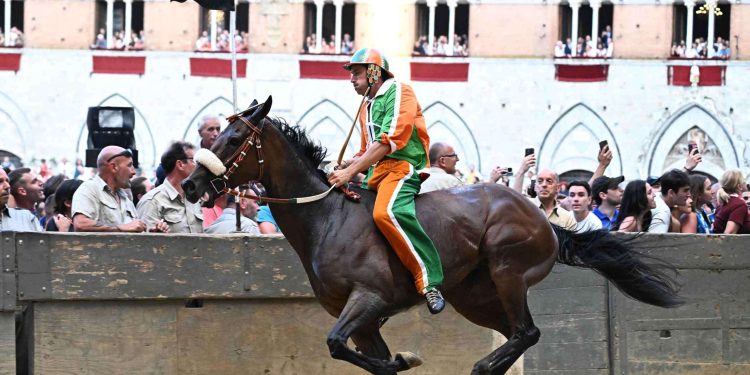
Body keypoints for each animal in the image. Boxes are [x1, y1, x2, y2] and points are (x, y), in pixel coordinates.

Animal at [184, 97, 688, 375]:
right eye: (215, 135)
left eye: (233, 139)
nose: (190, 185)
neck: (327, 218)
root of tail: (545, 218)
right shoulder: (366, 323)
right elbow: (361, 356)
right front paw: (398, 361)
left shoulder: (368, 300)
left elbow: (337, 344)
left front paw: (405, 359)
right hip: (474, 295)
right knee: (518, 334)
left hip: (508, 272)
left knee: (527, 331)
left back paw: (481, 365)